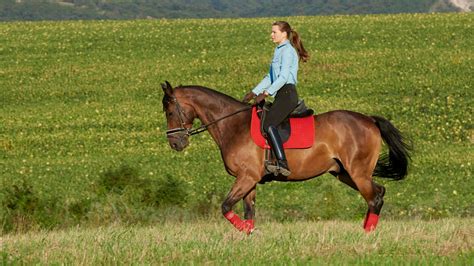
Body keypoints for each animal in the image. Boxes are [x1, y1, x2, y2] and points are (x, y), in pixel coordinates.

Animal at [160, 81, 412, 235]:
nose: (175, 144)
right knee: (379, 192)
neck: (233, 125)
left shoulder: (246, 177)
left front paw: (251, 232)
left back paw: (367, 235)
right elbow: (249, 212)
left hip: (358, 173)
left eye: (170, 111)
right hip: (344, 173)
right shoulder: (249, 180)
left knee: (374, 198)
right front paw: (250, 234)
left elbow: (225, 206)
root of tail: (370, 120)